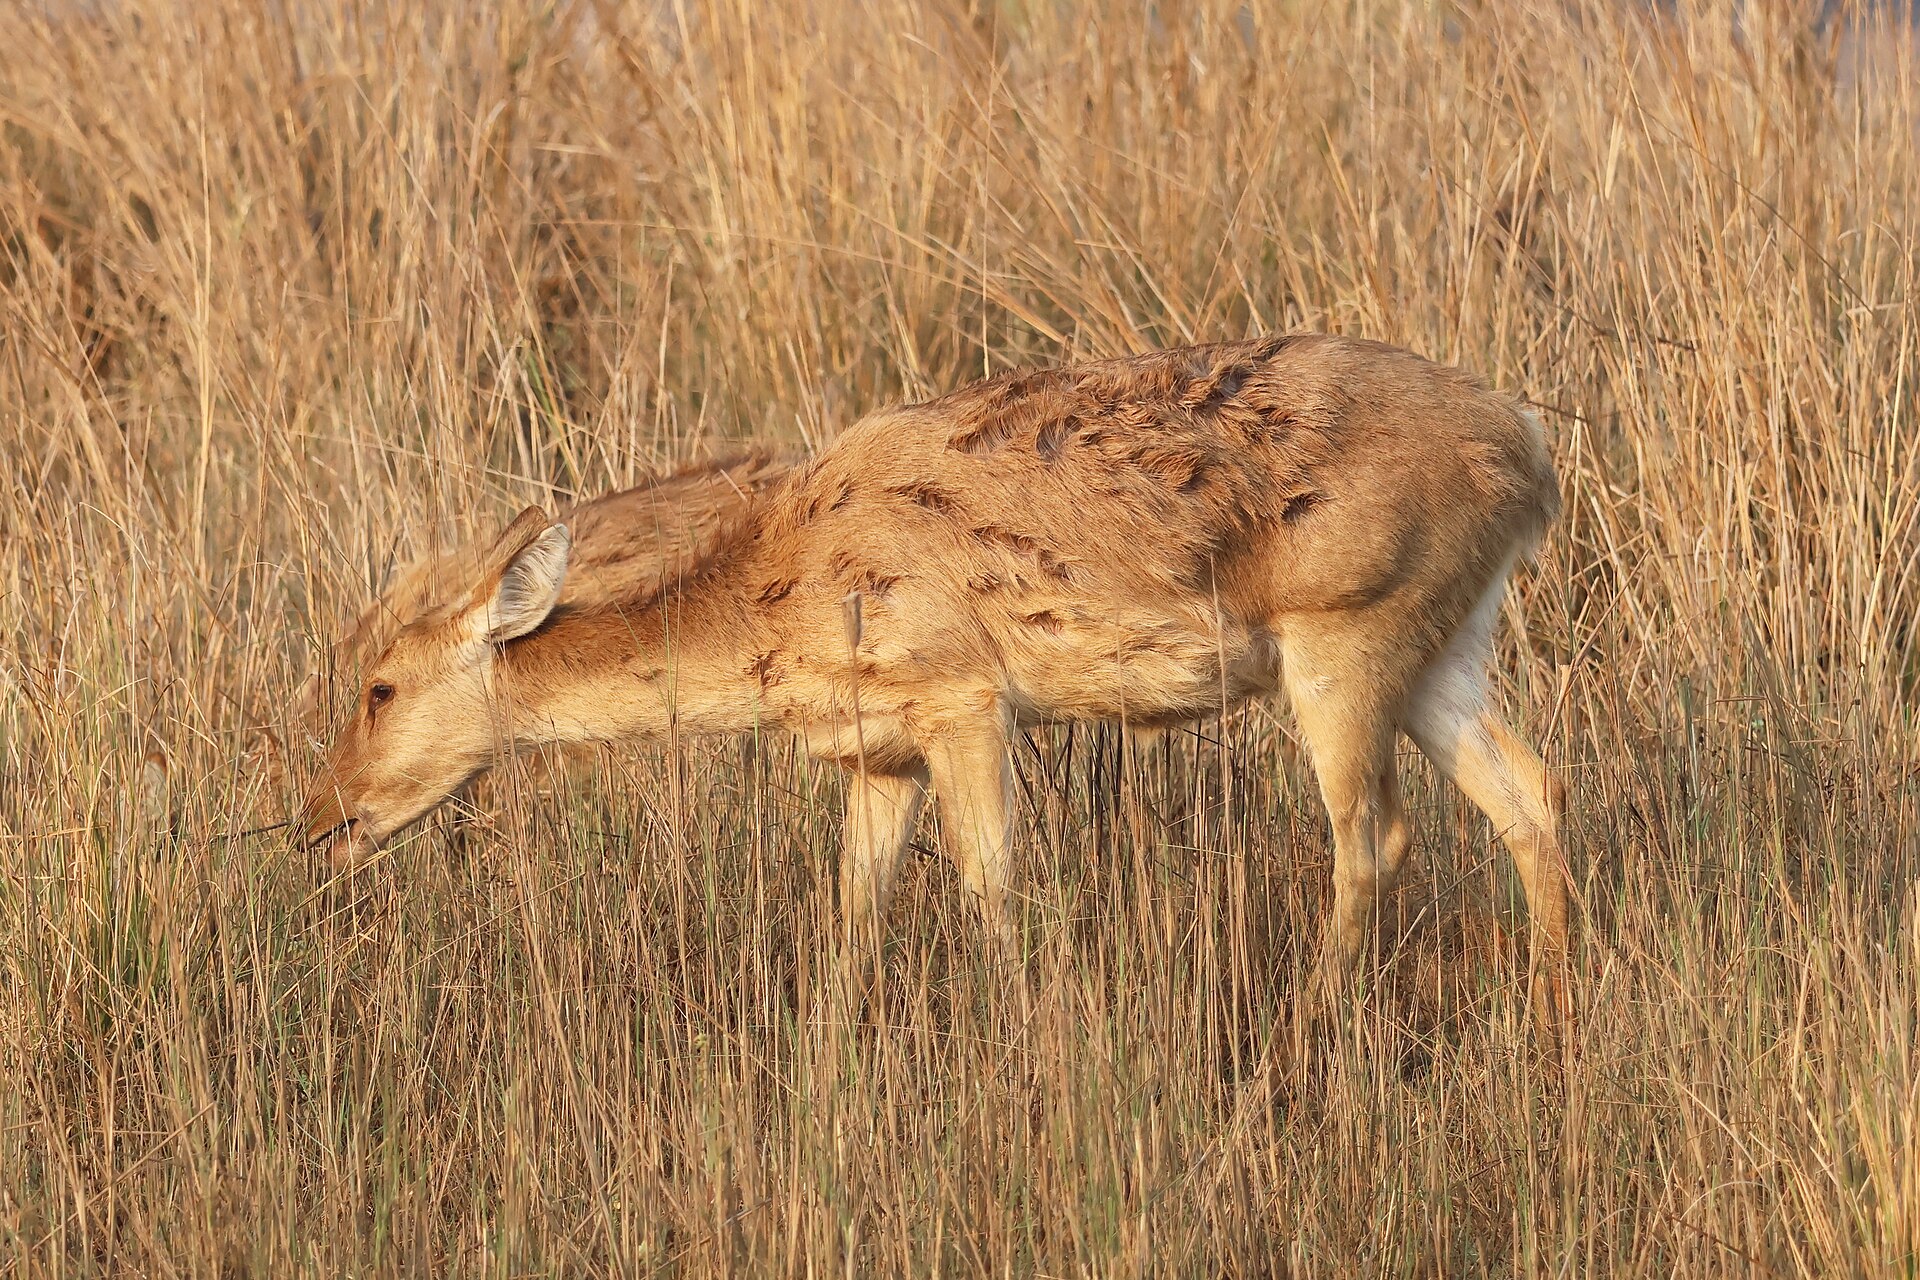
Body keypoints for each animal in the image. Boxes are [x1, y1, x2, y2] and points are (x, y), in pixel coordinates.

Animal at [298, 334, 1569, 1009]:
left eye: (380, 684)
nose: (319, 821)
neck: (781, 587)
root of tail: (1527, 449)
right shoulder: (879, 752)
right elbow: (856, 909)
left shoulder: (962, 697)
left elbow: (990, 883)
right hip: (1445, 646)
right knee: (1531, 790)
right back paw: (1554, 1011)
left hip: (1343, 640)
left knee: (1373, 832)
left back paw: (1313, 1020)